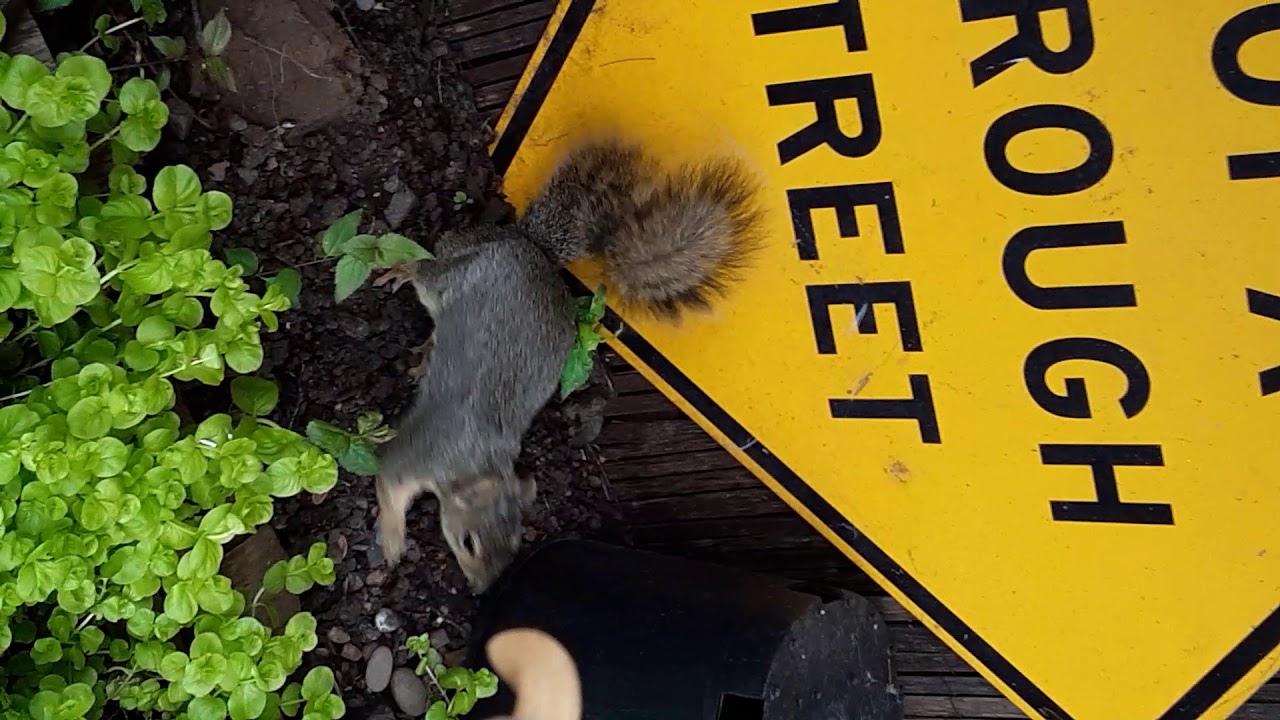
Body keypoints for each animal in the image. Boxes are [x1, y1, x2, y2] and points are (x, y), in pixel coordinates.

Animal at [373, 138, 763, 592]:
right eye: (468, 542)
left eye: (515, 544)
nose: (484, 588)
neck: (476, 463)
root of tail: (532, 249)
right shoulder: (415, 453)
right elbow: (387, 482)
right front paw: (393, 543)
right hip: (455, 273)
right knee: (427, 270)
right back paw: (402, 270)